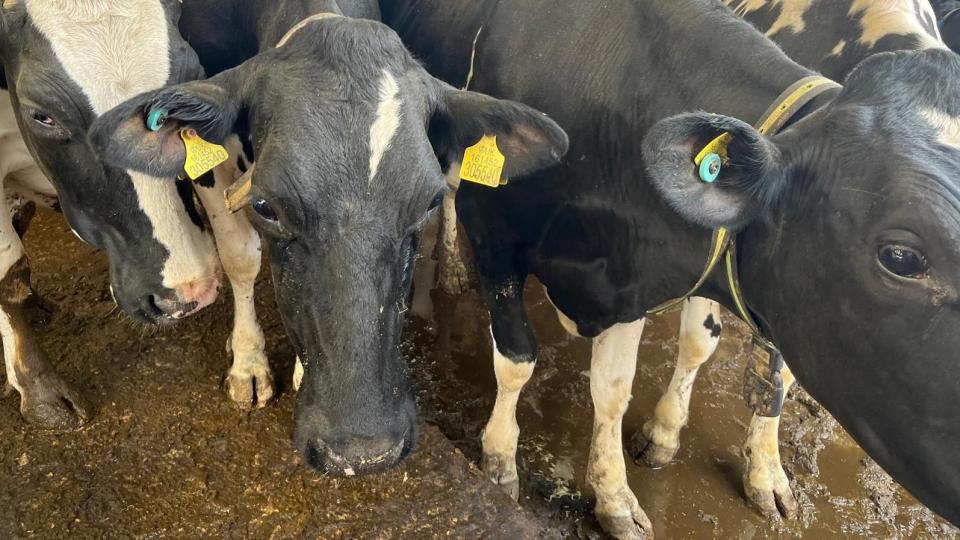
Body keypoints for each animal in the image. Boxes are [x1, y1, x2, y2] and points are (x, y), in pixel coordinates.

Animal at [0, 0, 276, 422]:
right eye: (42, 115)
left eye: (192, 76)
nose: (184, 295)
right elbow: (9, 274)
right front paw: (40, 390)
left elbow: (239, 251)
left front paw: (248, 363)